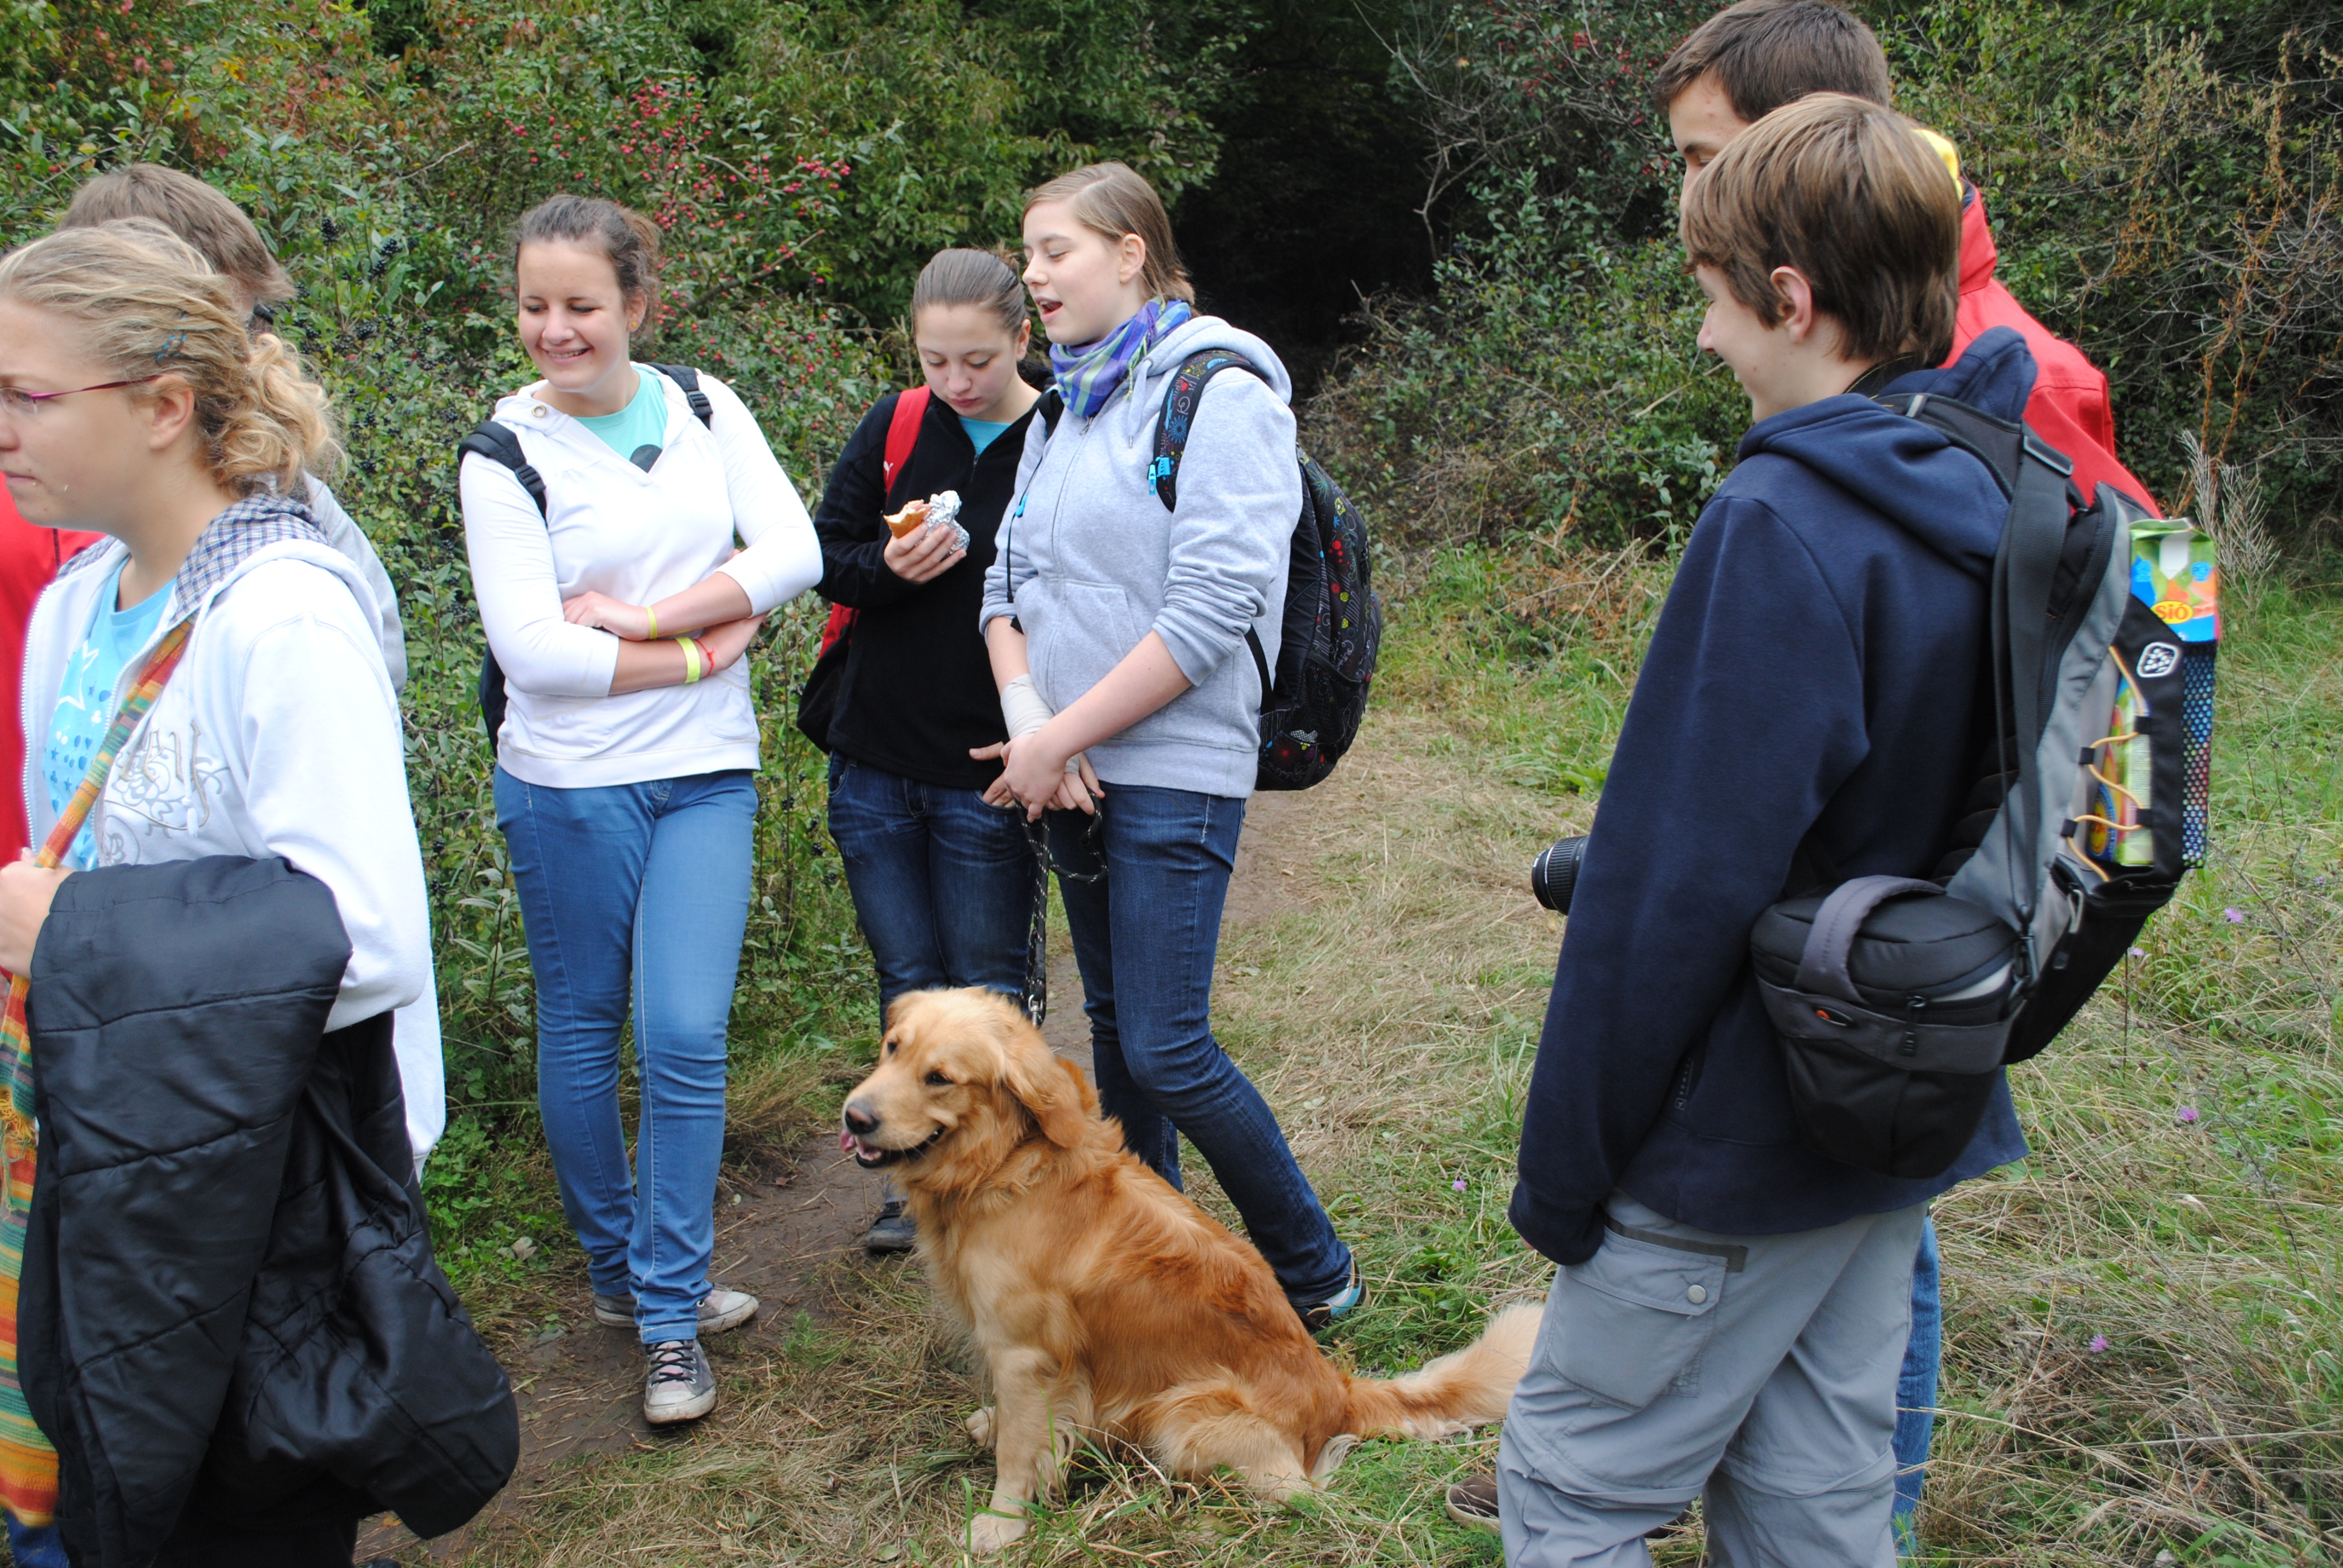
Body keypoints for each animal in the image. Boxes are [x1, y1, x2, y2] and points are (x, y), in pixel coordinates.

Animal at [840, 987, 1543, 1554]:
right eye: (892, 1047)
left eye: (940, 1077)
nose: (855, 1117)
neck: (1005, 1168)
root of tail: (1338, 1392)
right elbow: (1024, 1426)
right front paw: (993, 1432)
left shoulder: (1023, 1354)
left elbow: (1021, 1447)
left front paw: (1001, 1523)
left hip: (1183, 1414)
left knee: (1293, 1490)